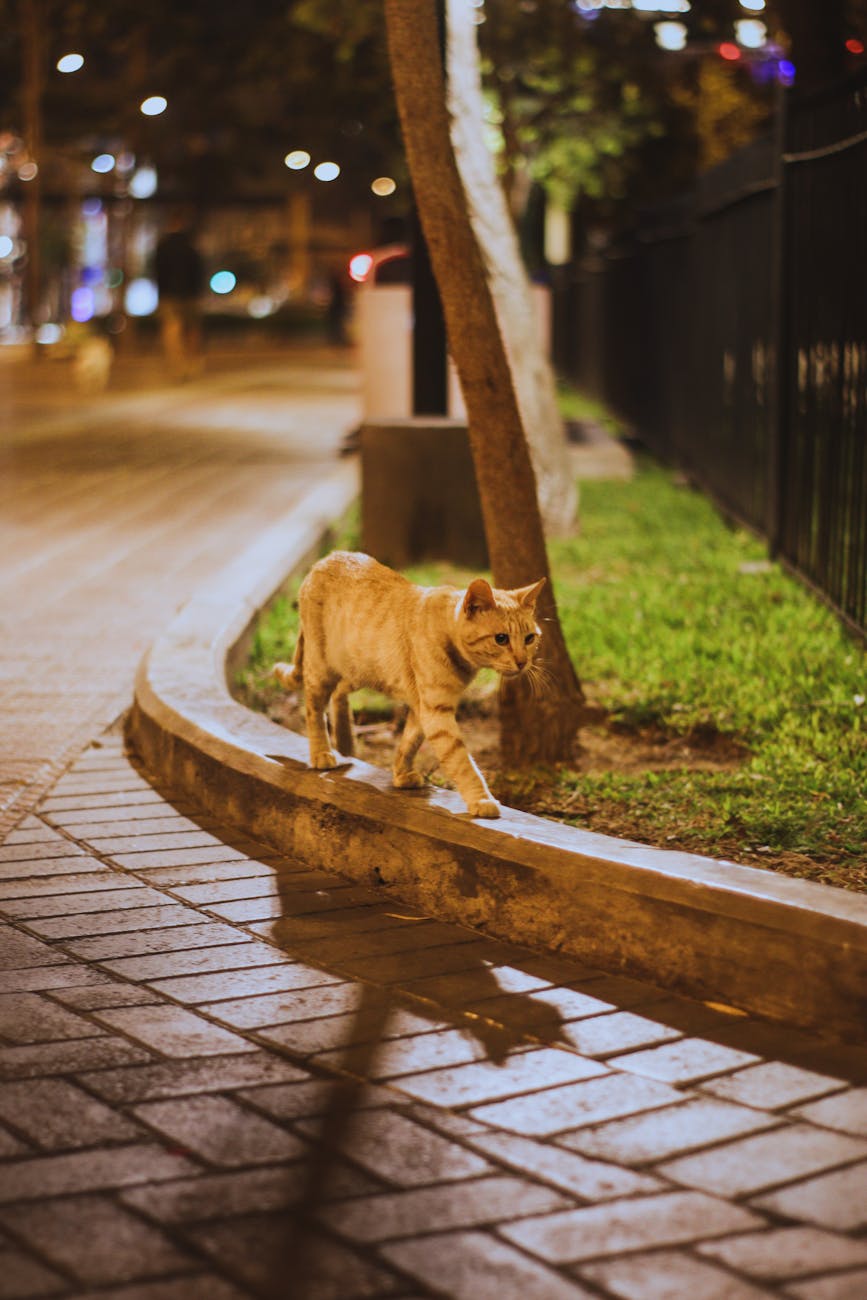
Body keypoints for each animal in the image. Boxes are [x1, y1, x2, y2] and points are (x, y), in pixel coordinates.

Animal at [272, 551, 543, 816]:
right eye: (501, 639)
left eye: (530, 638)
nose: (522, 662)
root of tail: (323, 560)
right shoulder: (436, 711)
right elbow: (461, 761)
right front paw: (482, 799)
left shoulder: (422, 707)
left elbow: (410, 741)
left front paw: (401, 774)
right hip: (322, 668)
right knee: (313, 708)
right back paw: (321, 752)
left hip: (359, 670)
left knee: (339, 694)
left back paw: (346, 741)